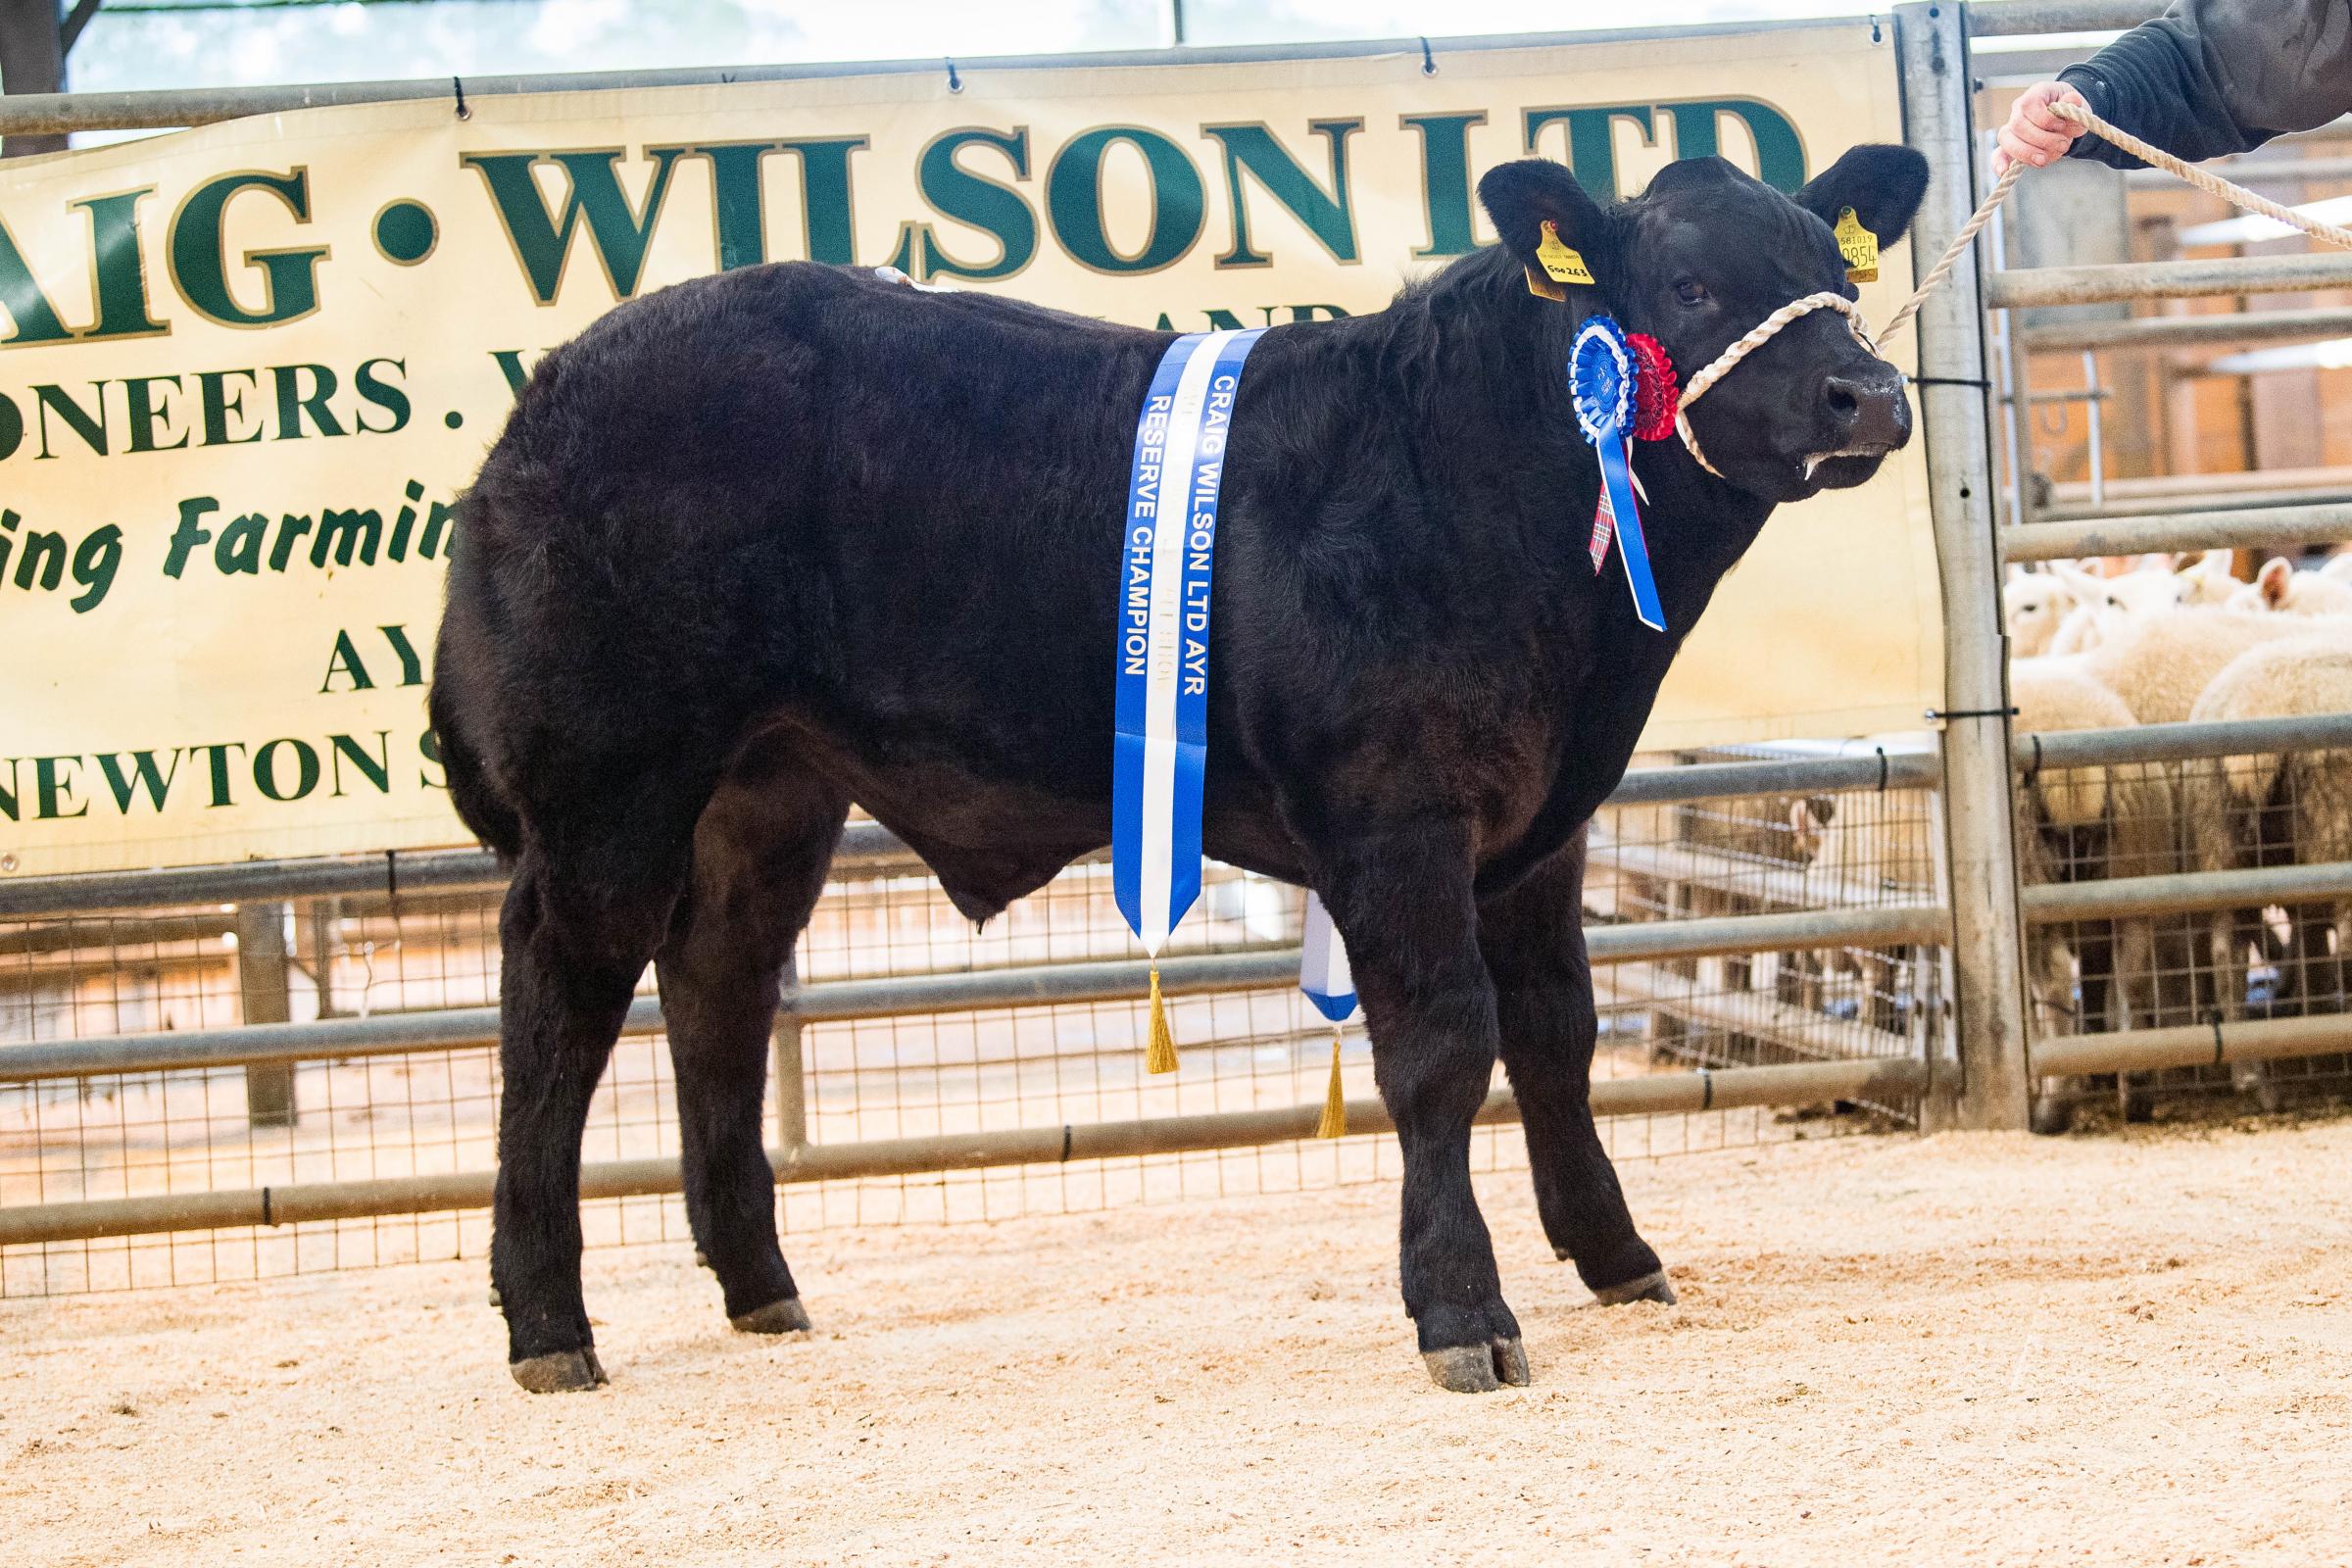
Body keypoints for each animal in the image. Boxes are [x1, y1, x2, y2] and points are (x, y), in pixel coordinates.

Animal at [427, 150, 1929, 1400]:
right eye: (1692, 285)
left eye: (1841, 272)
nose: (1866, 392)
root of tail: (545, 394)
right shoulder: (1395, 812)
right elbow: (1444, 1048)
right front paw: (1464, 1314)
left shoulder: (1545, 822)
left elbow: (1559, 1034)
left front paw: (1621, 1258)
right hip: (608, 780)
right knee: (558, 1005)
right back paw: (550, 1328)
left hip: (768, 790)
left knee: (718, 992)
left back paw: (763, 1290)